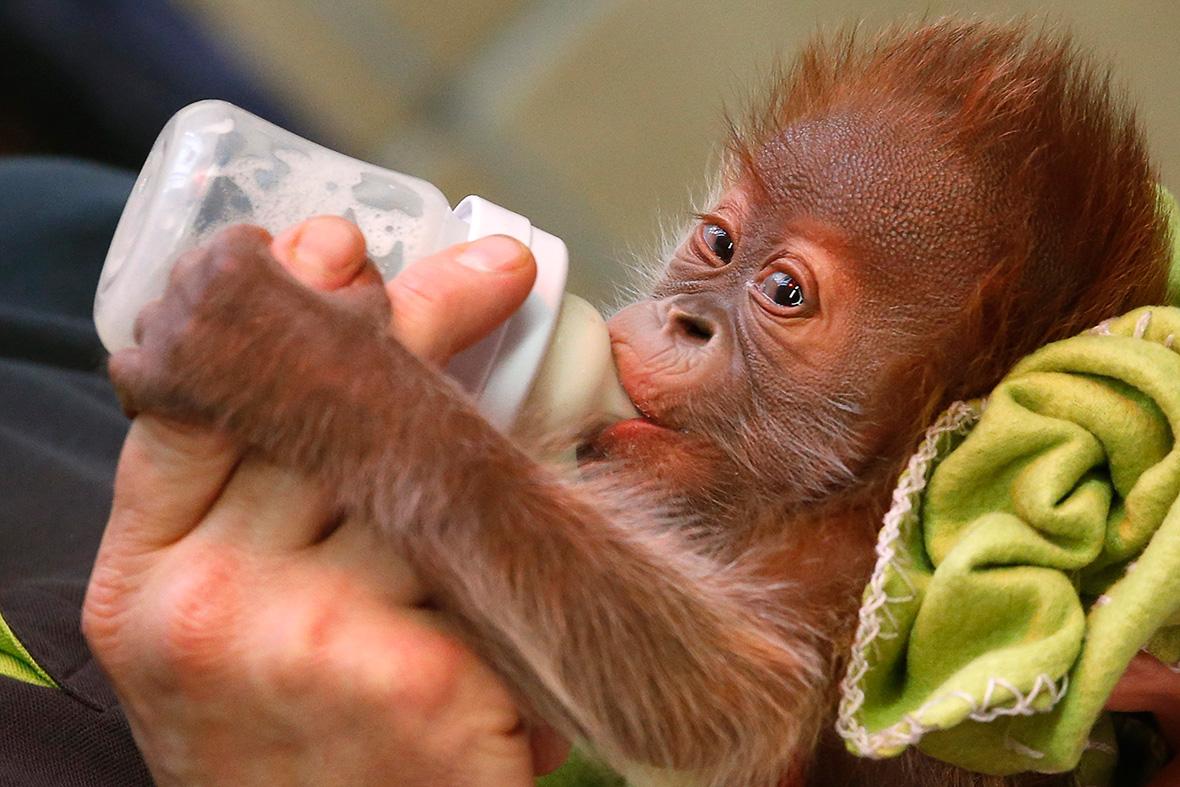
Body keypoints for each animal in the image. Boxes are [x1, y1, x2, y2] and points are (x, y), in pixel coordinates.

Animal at [103, 19, 1172, 787]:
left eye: (784, 292)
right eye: (719, 243)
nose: (681, 321)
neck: (842, 487)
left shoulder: (875, 553)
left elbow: (729, 696)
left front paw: (296, 351)